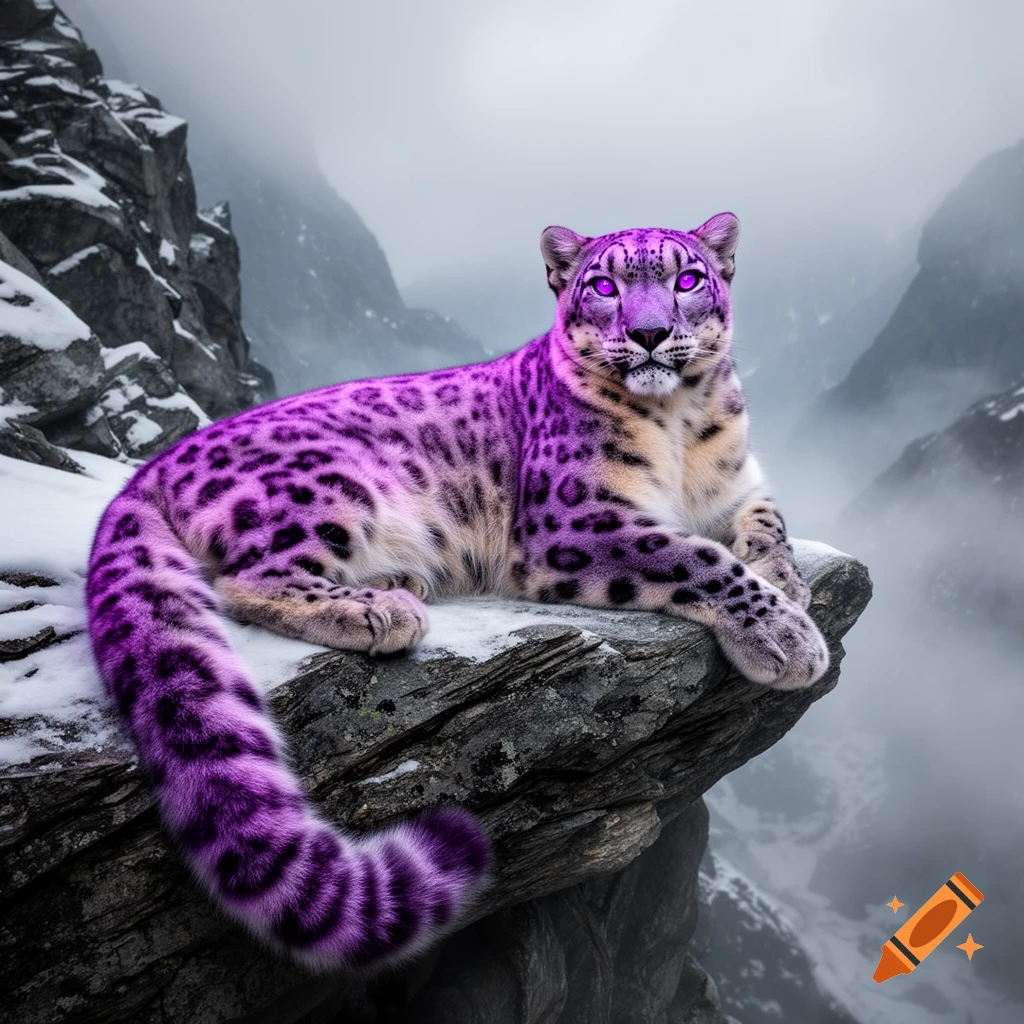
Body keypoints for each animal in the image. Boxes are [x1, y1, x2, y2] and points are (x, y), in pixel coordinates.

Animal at [85, 212, 827, 971]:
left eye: (687, 279)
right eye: (603, 285)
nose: (649, 333)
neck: (680, 425)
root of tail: (156, 462)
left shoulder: (738, 486)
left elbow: (766, 521)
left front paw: (786, 579)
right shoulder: (575, 519)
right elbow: (692, 555)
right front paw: (788, 636)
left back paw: (397, 579)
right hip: (331, 483)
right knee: (245, 576)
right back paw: (377, 609)